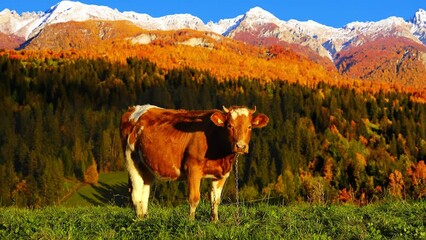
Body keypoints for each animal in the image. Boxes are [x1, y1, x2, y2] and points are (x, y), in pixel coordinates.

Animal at [120, 104, 268, 220]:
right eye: (229, 125)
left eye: (249, 126)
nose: (240, 146)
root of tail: (134, 109)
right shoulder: (193, 170)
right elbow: (194, 198)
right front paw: (191, 221)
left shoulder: (222, 174)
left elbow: (215, 200)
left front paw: (215, 221)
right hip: (132, 161)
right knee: (136, 193)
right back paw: (140, 219)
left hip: (146, 166)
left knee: (145, 193)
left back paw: (145, 217)